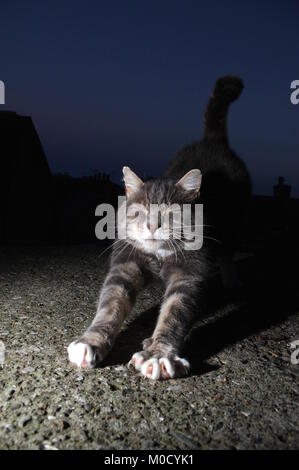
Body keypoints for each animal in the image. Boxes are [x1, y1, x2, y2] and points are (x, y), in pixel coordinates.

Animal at [68, 75, 251, 380]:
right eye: (140, 212)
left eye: (170, 213)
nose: (153, 224)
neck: (159, 256)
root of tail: (212, 140)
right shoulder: (126, 265)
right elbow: (110, 304)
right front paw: (91, 341)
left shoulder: (188, 275)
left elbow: (174, 313)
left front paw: (158, 354)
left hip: (236, 222)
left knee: (229, 250)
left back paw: (232, 278)